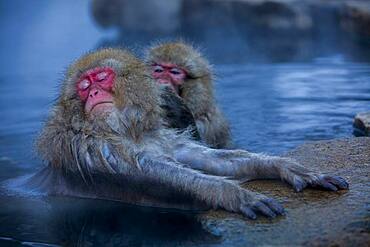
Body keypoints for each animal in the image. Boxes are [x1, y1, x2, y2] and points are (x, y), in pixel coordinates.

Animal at [33, 48, 348, 220]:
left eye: (101, 78)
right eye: (84, 86)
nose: (94, 94)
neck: (125, 131)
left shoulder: (163, 138)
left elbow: (210, 159)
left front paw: (287, 167)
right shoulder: (93, 149)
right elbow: (158, 180)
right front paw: (232, 194)